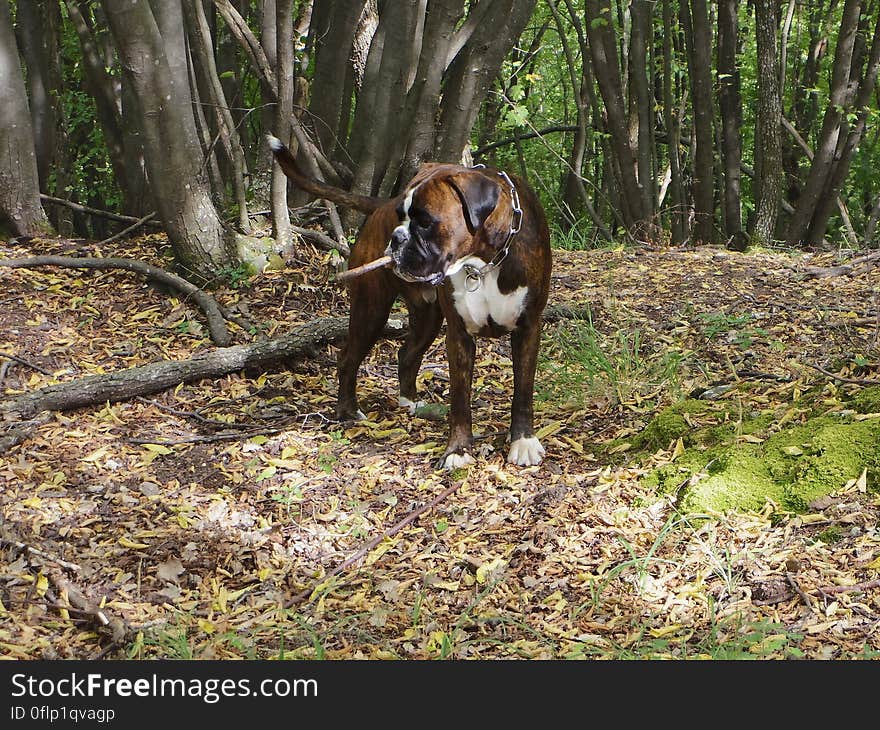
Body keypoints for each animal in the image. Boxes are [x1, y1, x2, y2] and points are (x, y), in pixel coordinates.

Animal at [266, 135, 552, 466]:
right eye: (401, 216)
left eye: (425, 221)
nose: (396, 238)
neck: (484, 263)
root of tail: (380, 205)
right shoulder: (459, 336)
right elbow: (459, 398)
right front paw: (458, 450)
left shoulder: (528, 328)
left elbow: (523, 390)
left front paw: (523, 441)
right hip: (372, 310)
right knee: (348, 357)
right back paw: (348, 411)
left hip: (427, 317)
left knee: (407, 354)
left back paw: (409, 402)